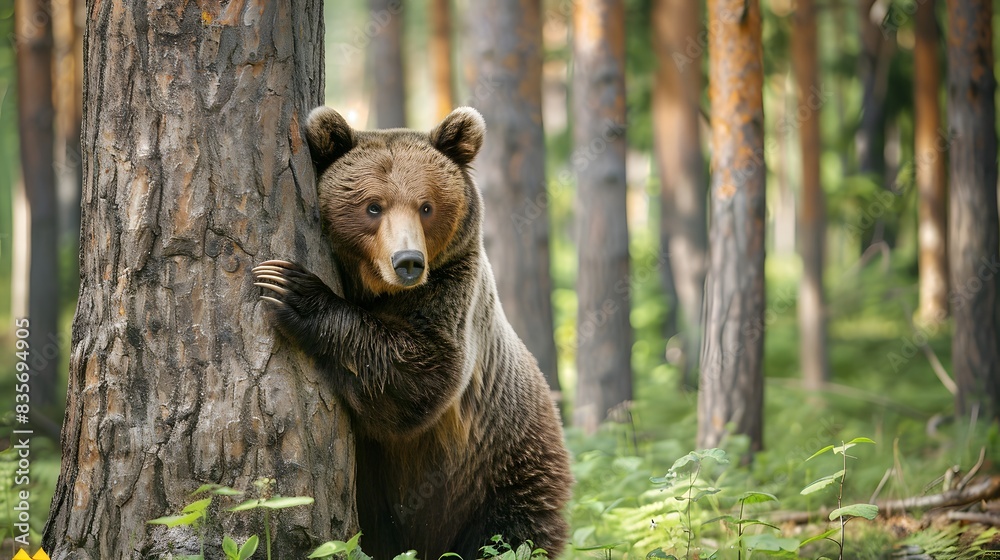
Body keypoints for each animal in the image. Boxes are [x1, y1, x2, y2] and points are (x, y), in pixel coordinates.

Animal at [251, 106, 573, 559]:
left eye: (426, 206)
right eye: (373, 206)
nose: (408, 261)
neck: (376, 288)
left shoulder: (451, 287)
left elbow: (424, 371)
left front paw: (291, 289)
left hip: (505, 465)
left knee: (510, 536)